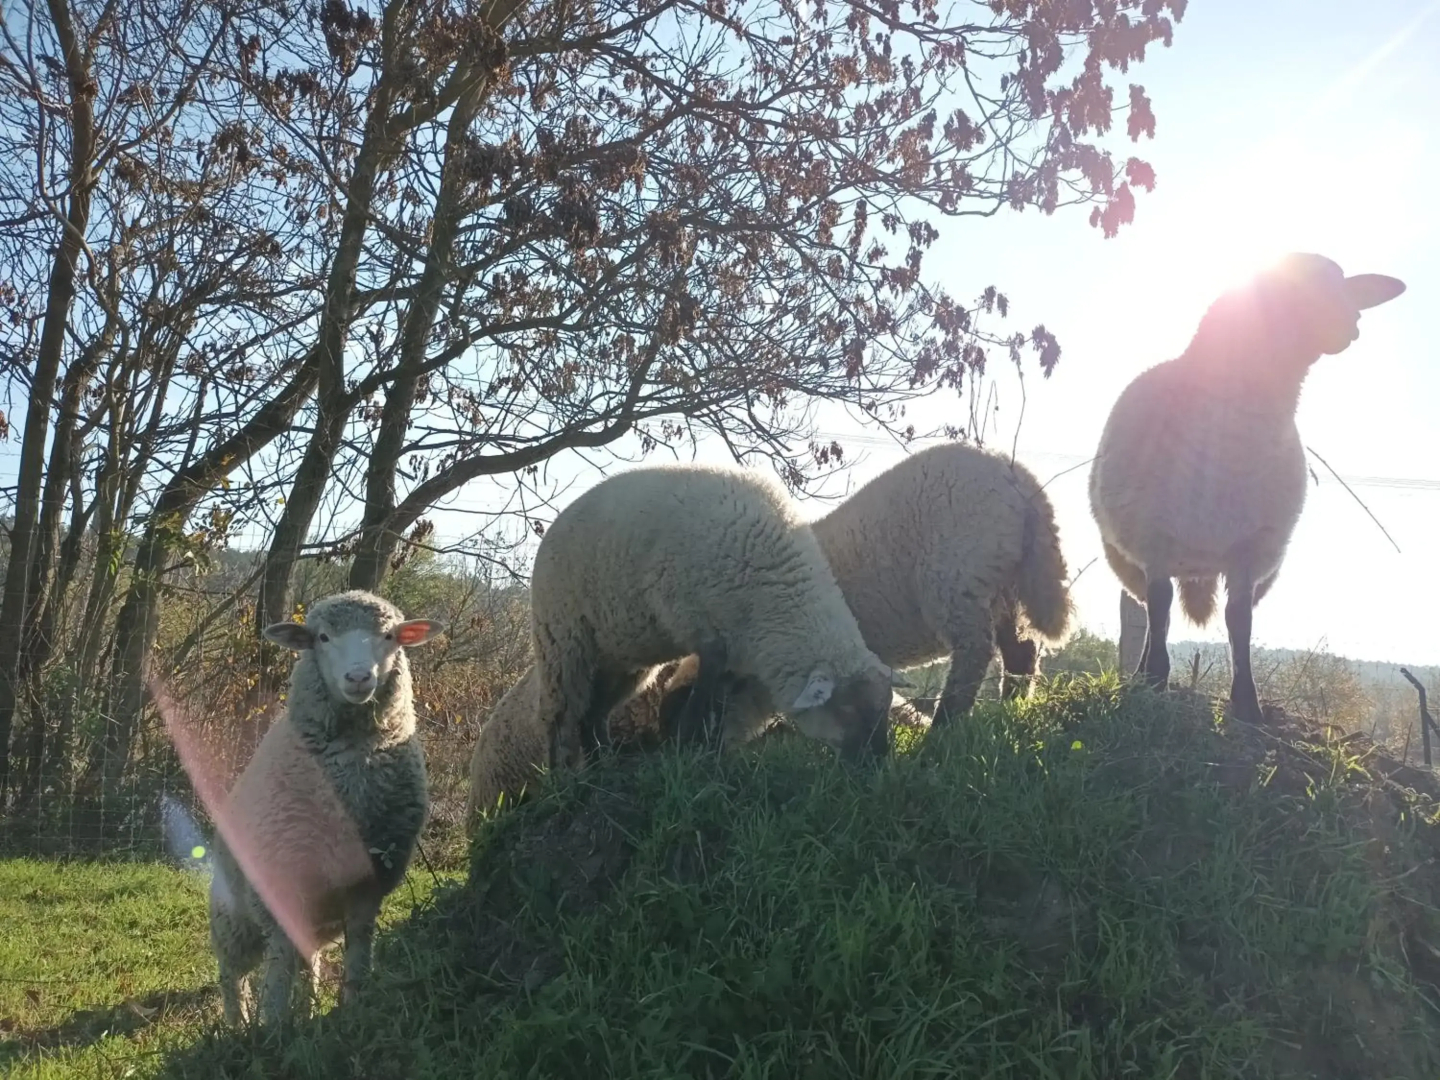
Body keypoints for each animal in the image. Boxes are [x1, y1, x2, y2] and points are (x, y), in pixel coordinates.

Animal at [207, 590, 443, 1026]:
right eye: (322, 638)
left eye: (389, 636)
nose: (358, 678)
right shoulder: (281, 881)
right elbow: (279, 965)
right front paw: (273, 1025)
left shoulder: (368, 882)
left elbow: (359, 947)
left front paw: (352, 1004)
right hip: (232, 915)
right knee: (231, 973)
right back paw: (239, 1023)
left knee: (309, 959)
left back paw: (310, 1004)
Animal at [530, 462, 909, 771]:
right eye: (846, 710)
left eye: (885, 709)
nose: (876, 766)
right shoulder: (704, 629)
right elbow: (702, 700)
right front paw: (688, 748)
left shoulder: (734, 646)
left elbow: (721, 706)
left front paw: (709, 751)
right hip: (563, 641)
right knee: (558, 716)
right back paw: (561, 779)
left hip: (623, 656)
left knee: (594, 713)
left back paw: (600, 765)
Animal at [1089, 252, 1405, 722]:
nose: (1353, 324)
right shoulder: (1154, 535)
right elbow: (1161, 606)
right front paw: (1155, 680)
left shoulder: (1253, 550)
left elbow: (1239, 621)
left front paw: (1247, 703)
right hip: (1128, 559)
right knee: (1150, 609)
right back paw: (1143, 673)